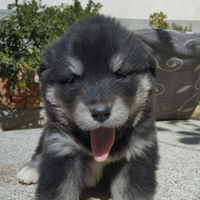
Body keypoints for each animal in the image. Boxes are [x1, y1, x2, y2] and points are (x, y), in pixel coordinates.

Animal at [17, 15, 159, 200]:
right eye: (73, 80)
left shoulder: (137, 154)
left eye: (120, 75)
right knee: (40, 149)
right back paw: (31, 169)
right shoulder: (61, 148)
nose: (100, 113)